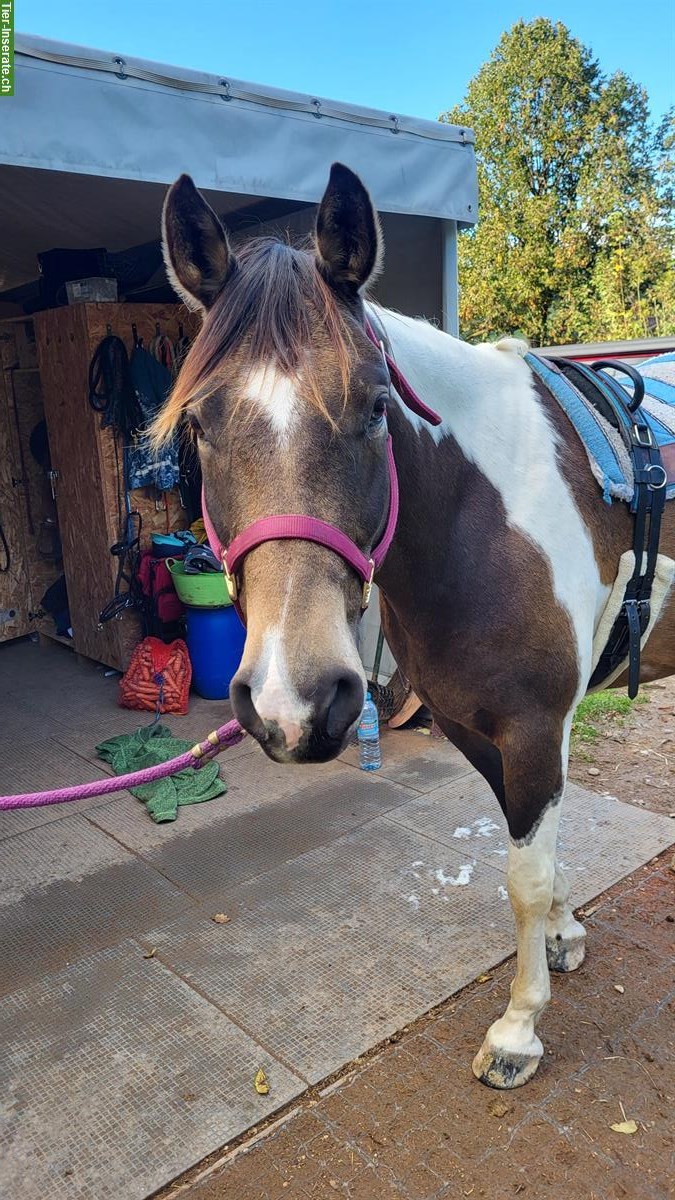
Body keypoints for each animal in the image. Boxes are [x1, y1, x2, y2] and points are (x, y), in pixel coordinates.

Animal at [152, 159, 672, 1089]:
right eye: (200, 424)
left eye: (372, 405)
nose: (295, 703)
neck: (489, 516)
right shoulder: (478, 725)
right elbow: (540, 854)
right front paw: (566, 936)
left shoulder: (533, 725)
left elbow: (522, 877)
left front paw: (518, 1028)